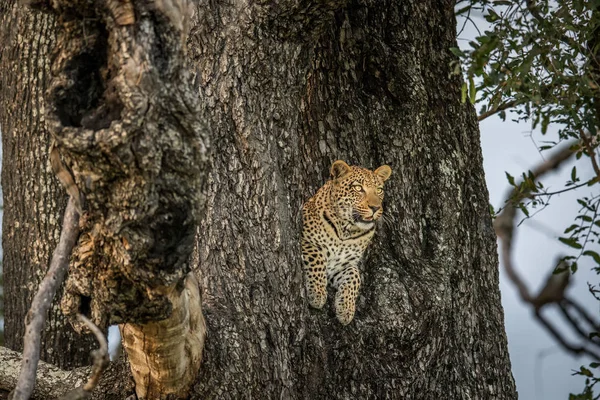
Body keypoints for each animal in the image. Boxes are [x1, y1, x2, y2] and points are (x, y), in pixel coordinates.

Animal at [302, 159, 392, 324]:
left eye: (379, 190)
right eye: (358, 188)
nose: (375, 207)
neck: (346, 231)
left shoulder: (343, 265)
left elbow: (355, 276)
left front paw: (346, 309)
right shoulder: (305, 240)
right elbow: (317, 257)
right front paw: (317, 294)